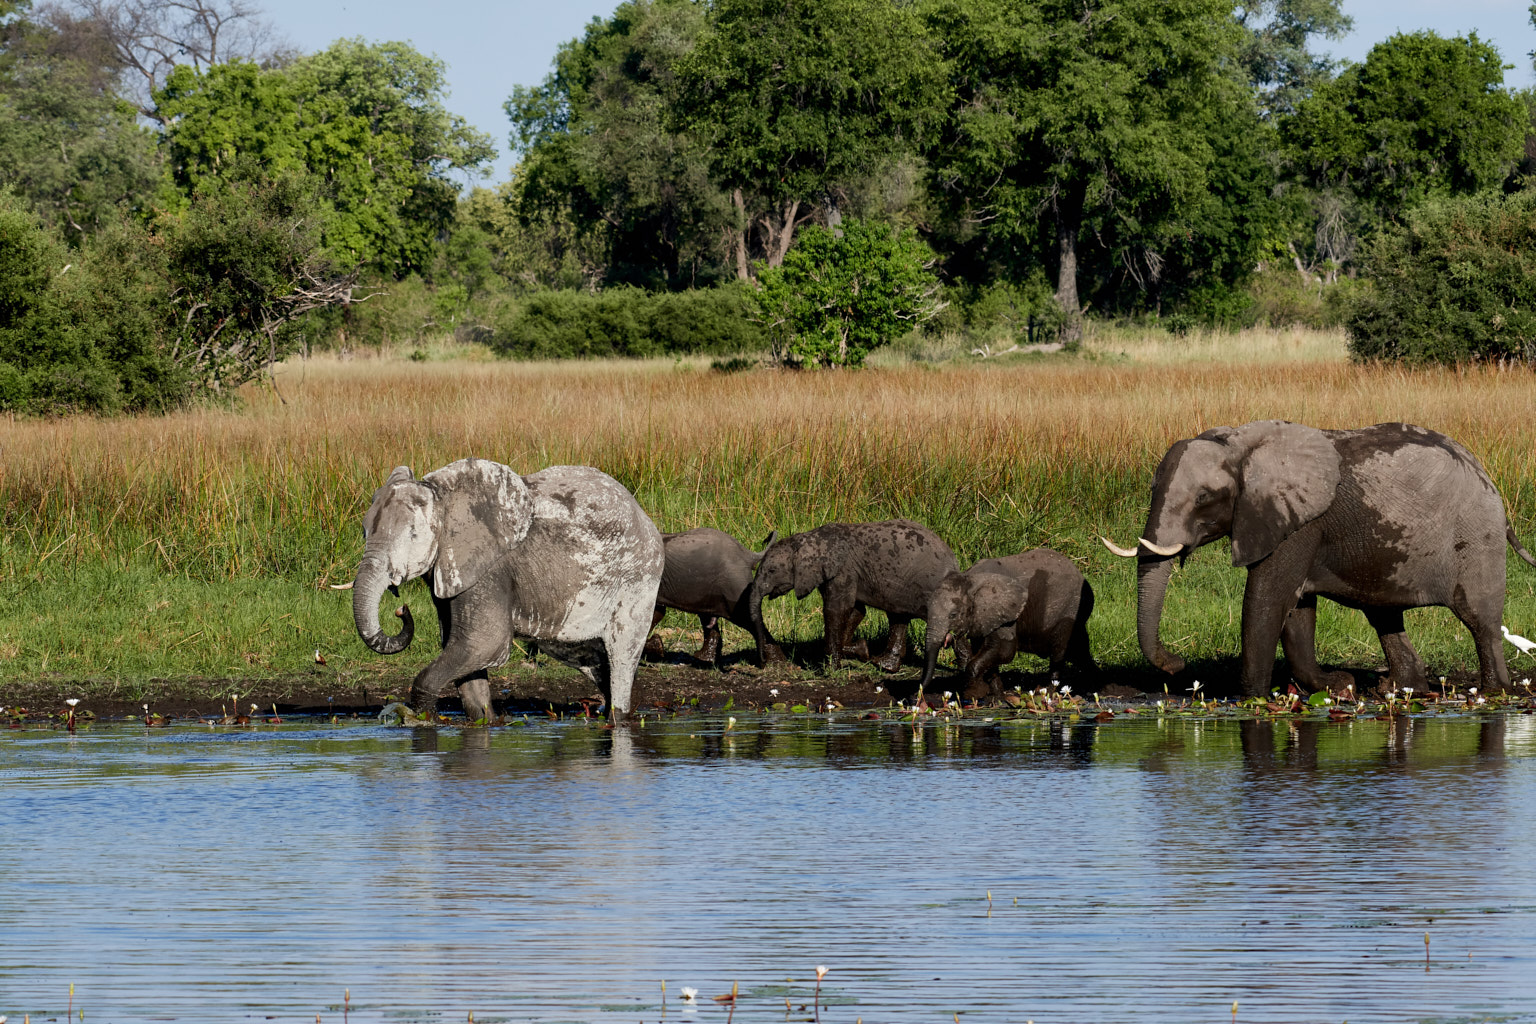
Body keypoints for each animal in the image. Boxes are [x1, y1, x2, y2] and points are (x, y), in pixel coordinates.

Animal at [353, 457, 666, 721]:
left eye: (413, 535)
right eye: (364, 532)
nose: (401, 609)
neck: (444, 496)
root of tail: (643, 515)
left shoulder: (490, 569)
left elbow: (483, 642)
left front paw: (421, 718)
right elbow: (463, 651)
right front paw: (486, 722)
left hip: (638, 577)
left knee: (622, 654)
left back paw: (618, 716)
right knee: (590, 659)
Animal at [645, 528, 786, 666]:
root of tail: (747, 554)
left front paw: (656, 648)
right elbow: (656, 613)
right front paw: (657, 646)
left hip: (734, 584)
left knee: (745, 617)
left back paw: (775, 662)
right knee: (708, 617)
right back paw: (704, 658)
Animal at [746, 521, 958, 672]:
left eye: (772, 570)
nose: (762, 661)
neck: (807, 540)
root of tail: (954, 561)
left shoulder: (843, 570)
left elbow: (837, 610)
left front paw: (831, 669)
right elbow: (856, 611)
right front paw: (861, 650)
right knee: (898, 617)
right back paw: (883, 665)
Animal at [915, 549, 1099, 700]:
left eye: (953, 615)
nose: (917, 693)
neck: (970, 580)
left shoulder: (1006, 612)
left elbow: (1005, 650)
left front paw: (973, 694)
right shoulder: (982, 616)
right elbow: (984, 650)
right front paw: (997, 699)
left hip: (1070, 607)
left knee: (1060, 651)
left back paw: (1048, 693)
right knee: (1079, 650)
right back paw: (1093, 688)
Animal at [1105, 420, 1536, 700]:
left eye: (1203, 498)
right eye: (1152, 489)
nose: (1176, 665)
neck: (1239, 445)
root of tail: (1487, 477)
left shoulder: (1298, 522)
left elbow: (1267, 598)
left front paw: (1252, 700)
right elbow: (1296, 608)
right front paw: (1338, 686)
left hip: (1476, 536)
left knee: (1479, 619)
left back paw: (1496, 693)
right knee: (1384, 615)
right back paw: (1400, 690)